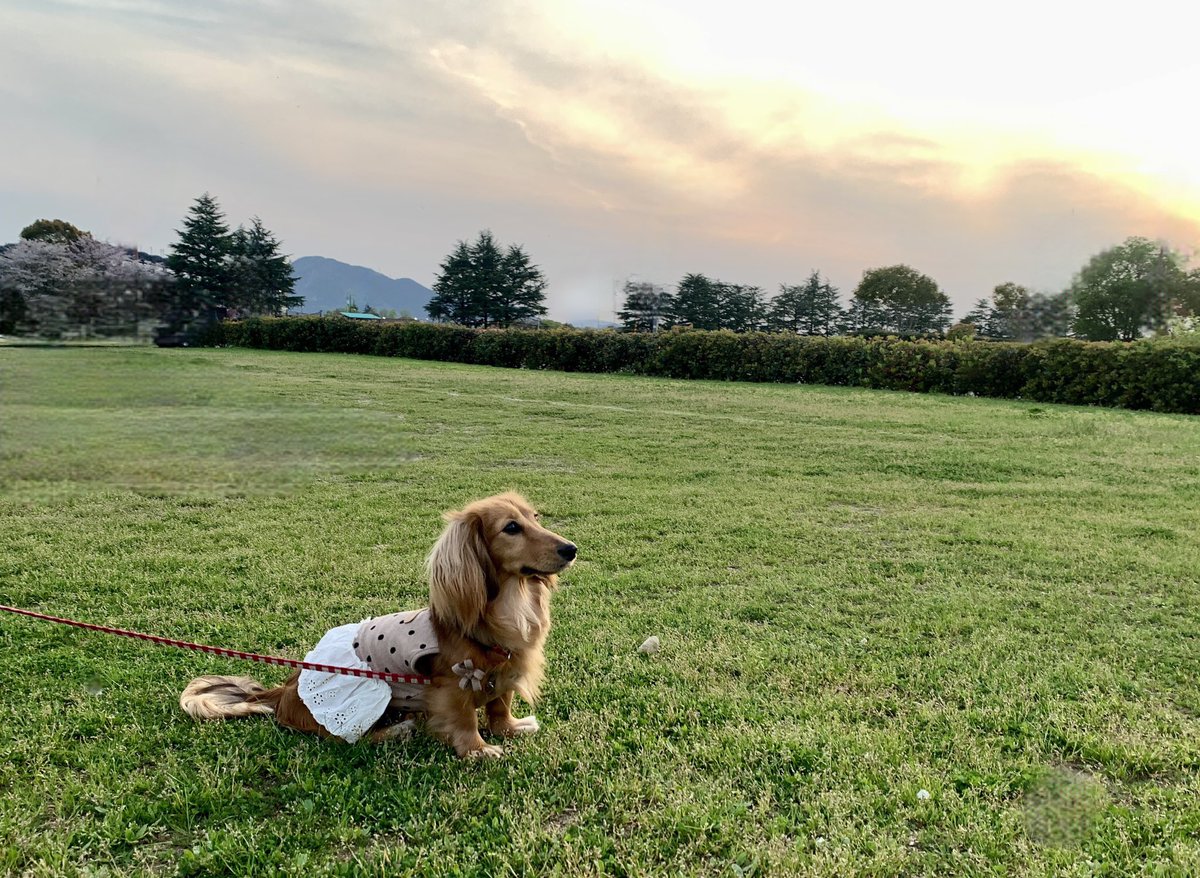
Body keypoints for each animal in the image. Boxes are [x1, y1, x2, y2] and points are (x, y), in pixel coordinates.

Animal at [177, 489, 576, 758]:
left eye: (535, 518)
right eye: (511, 528)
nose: (571, 549)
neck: (510, 605)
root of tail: (284, 690)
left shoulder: (505, 670)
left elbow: (499, 706)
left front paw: (511, 728)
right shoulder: (452, 685)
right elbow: (464, 719)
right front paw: (477, 750)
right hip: (370, 694)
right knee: (350, 739)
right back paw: (397, 730)